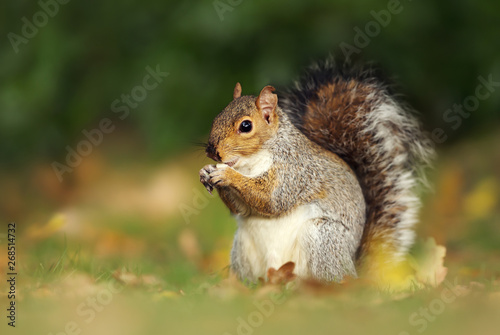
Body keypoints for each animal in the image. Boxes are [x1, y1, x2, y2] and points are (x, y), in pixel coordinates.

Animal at [199, 59, 434, 284]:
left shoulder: (295, 171)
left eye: (246, 126)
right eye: (217, 117)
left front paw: (226, 175)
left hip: (322, 238)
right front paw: (206, 172)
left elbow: (272, 199)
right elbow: (242, 210)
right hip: (242, 248)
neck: (250, 163)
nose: (212, 151)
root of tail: (356, 271)